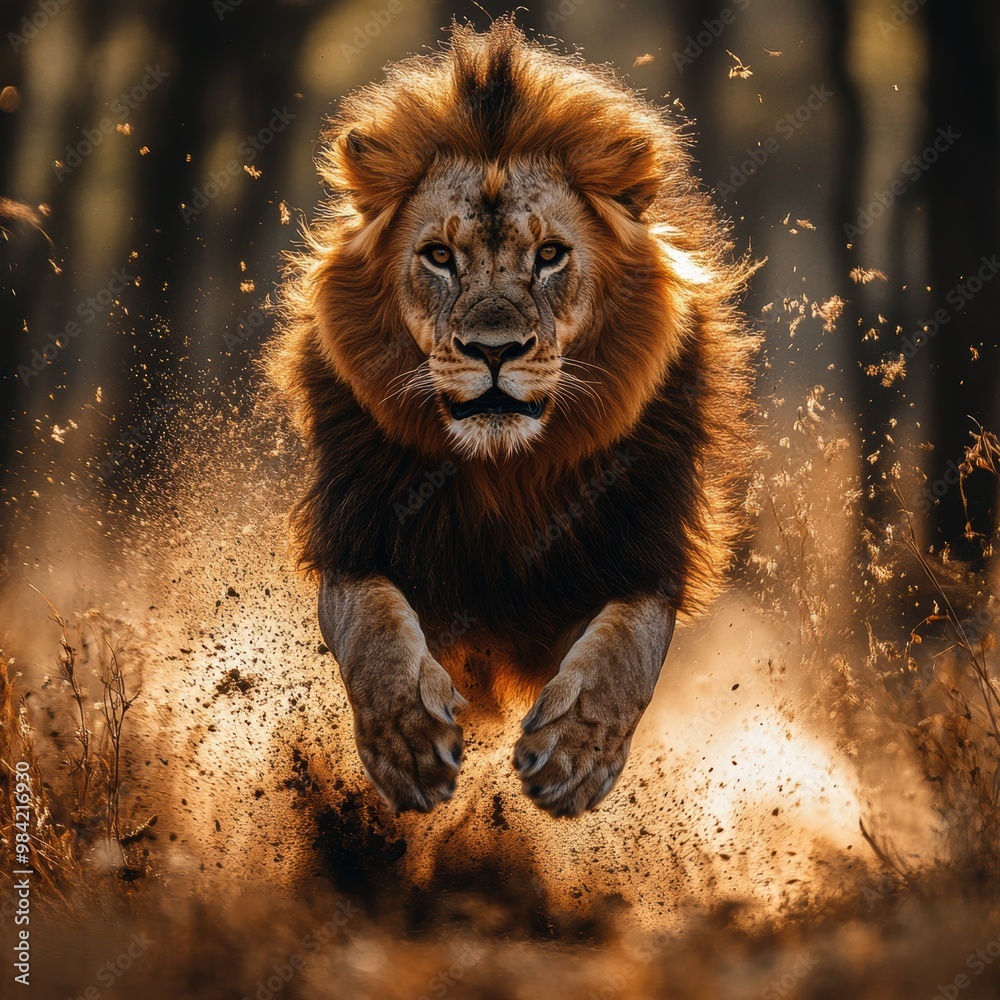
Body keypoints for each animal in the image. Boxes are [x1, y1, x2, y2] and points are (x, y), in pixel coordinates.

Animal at [268, 18, 755, 818]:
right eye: (438, 256)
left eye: (550, 255)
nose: (493, 350)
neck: (506, 473)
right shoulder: (356, 541)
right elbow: (373, 629)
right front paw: (407, 744)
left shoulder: (642, 556)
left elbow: (625, 649)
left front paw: (575, 755)